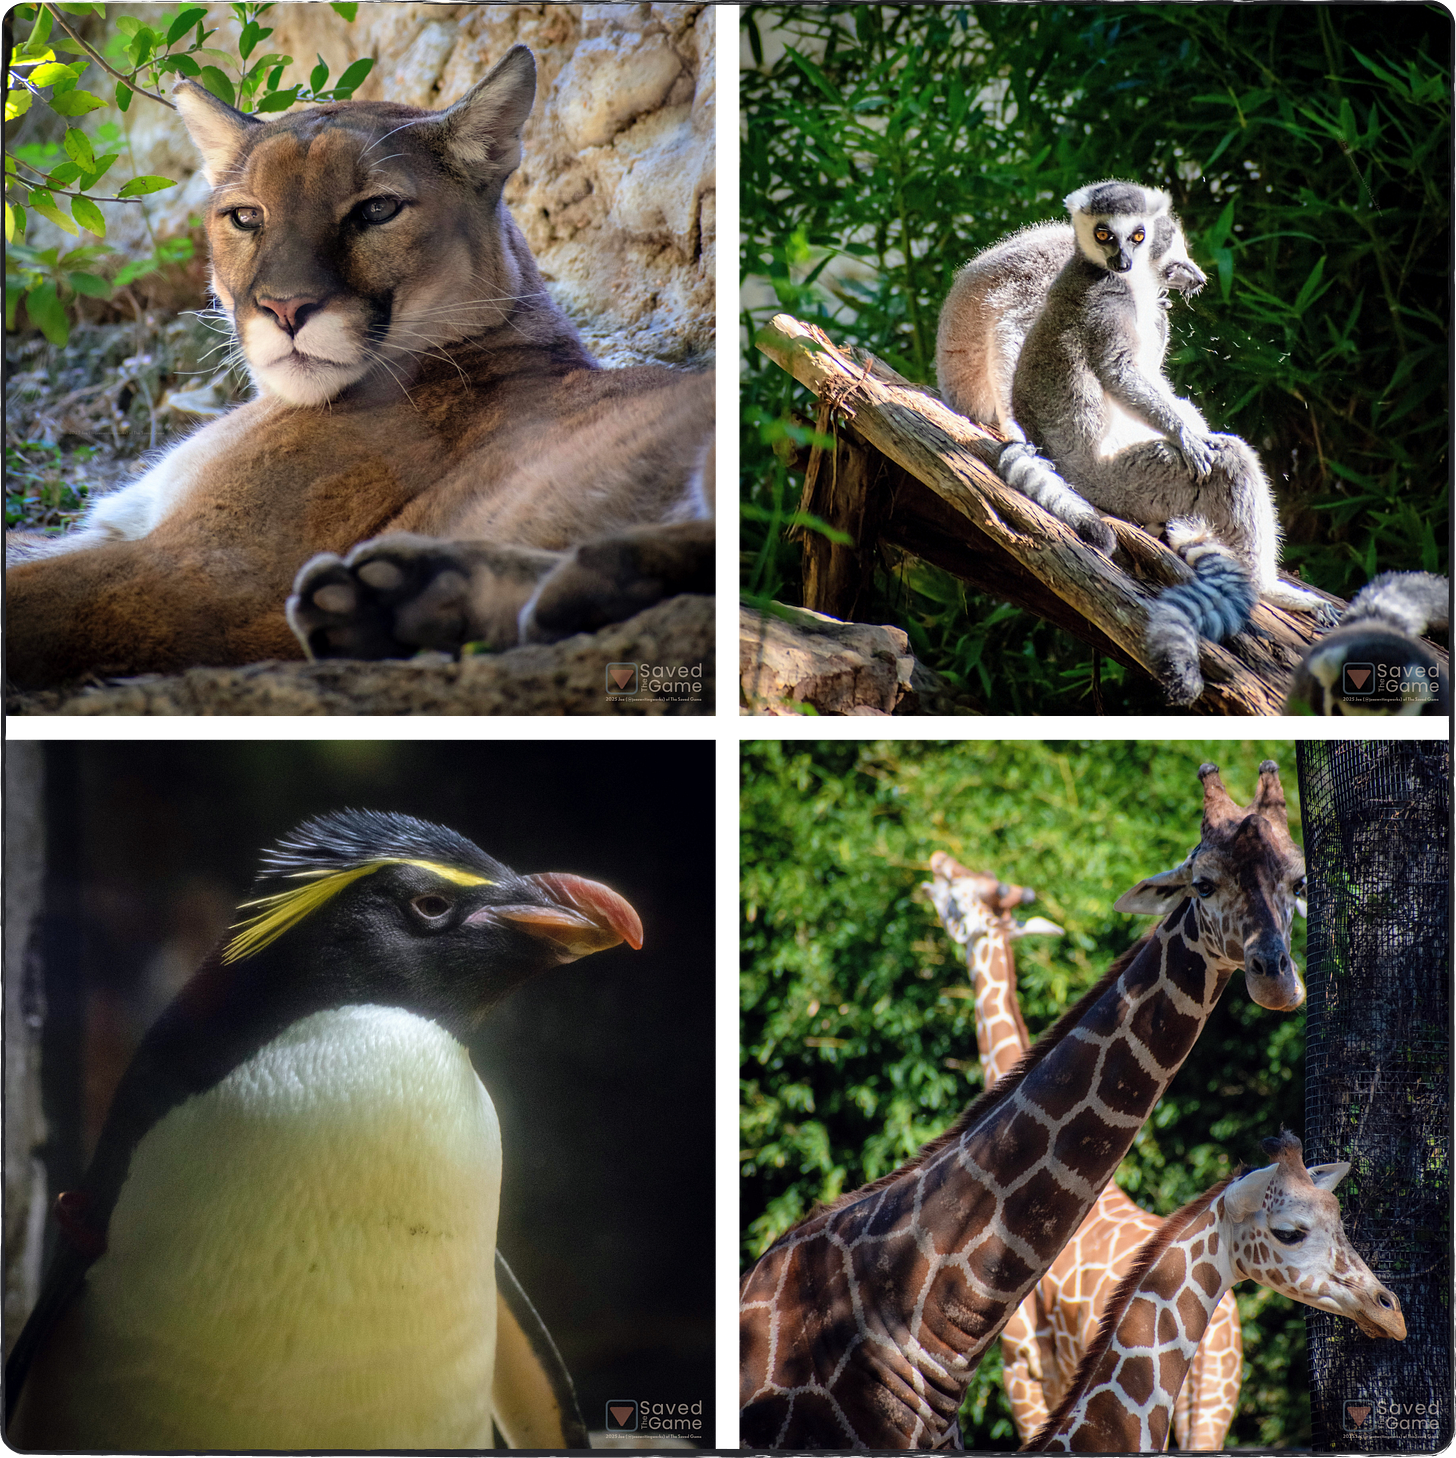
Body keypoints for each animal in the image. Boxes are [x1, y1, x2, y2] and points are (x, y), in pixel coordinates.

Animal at [5, 45, 716, 691]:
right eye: (246, 216)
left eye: (377, 210)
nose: (285, 308)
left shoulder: (202, 573)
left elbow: (26, 595)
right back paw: (403, 601)